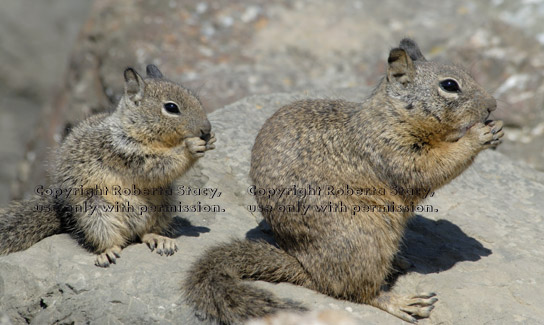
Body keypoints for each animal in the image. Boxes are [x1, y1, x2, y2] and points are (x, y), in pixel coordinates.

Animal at [0, 64, 216, 266]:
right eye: (171, 108)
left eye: (197, 99)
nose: (206, 129)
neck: (135, 129)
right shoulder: (125, 153)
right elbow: (159, 166)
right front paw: (190, 147)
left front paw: (211, 140)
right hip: (95, 211)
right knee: (113, 239)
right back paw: (108, 253)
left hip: (163, 204)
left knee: (144, 234)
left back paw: (159, 239)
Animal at [184, 39, 506, 322]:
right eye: (450, 85)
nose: (493, 104)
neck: (391, 115)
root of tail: (306, 268)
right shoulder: (393, 151)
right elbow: (431, 168)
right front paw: (479, 135)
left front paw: (497, 128)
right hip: (366, 239)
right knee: (358, 292)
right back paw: (402, 302)